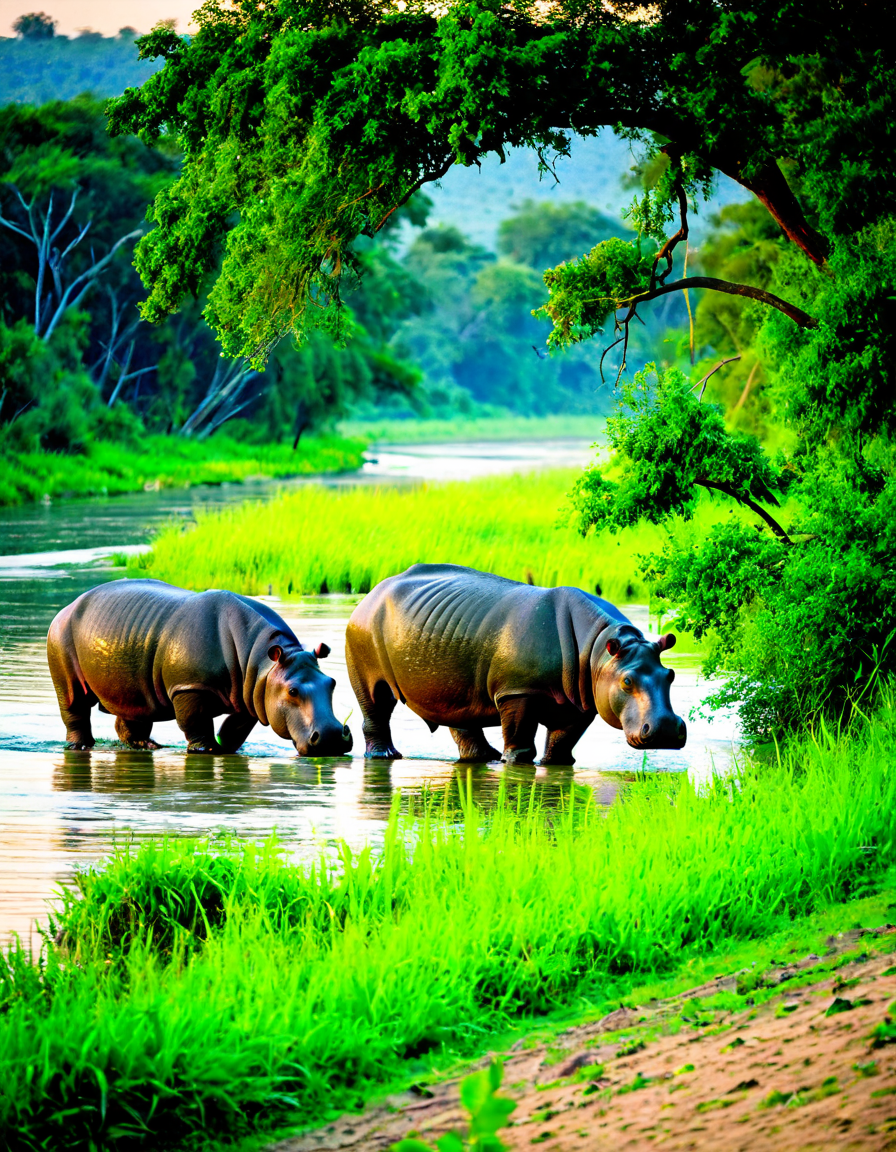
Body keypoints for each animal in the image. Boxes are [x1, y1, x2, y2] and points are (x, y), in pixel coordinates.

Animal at [47, 579, 352, 757]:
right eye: (292, 691)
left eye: (332, 683)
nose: (332, 737)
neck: (266, 663)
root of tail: (68, 606)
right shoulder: (189, 688)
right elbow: (196, 723)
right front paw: (207, 750)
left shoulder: (253, 693)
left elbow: (234, 728)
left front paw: (226, 750)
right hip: (61, 640)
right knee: (74, 706)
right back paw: (79, 747)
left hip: (129, 666)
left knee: (132, 712)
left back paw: (149, 747)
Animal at [344, 564, 685, 764]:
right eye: (627, 681)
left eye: (670, 676)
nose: (667, 730)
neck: (600, 651)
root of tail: (371, 592)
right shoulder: (517, 691)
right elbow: (521, 740)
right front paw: (514, 763)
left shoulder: (580, 701)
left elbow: (562, 743)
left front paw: (554, 765)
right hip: (362, 632)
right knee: (376, 702)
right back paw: (386, 756)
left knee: (458, 712)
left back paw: (484, 759)